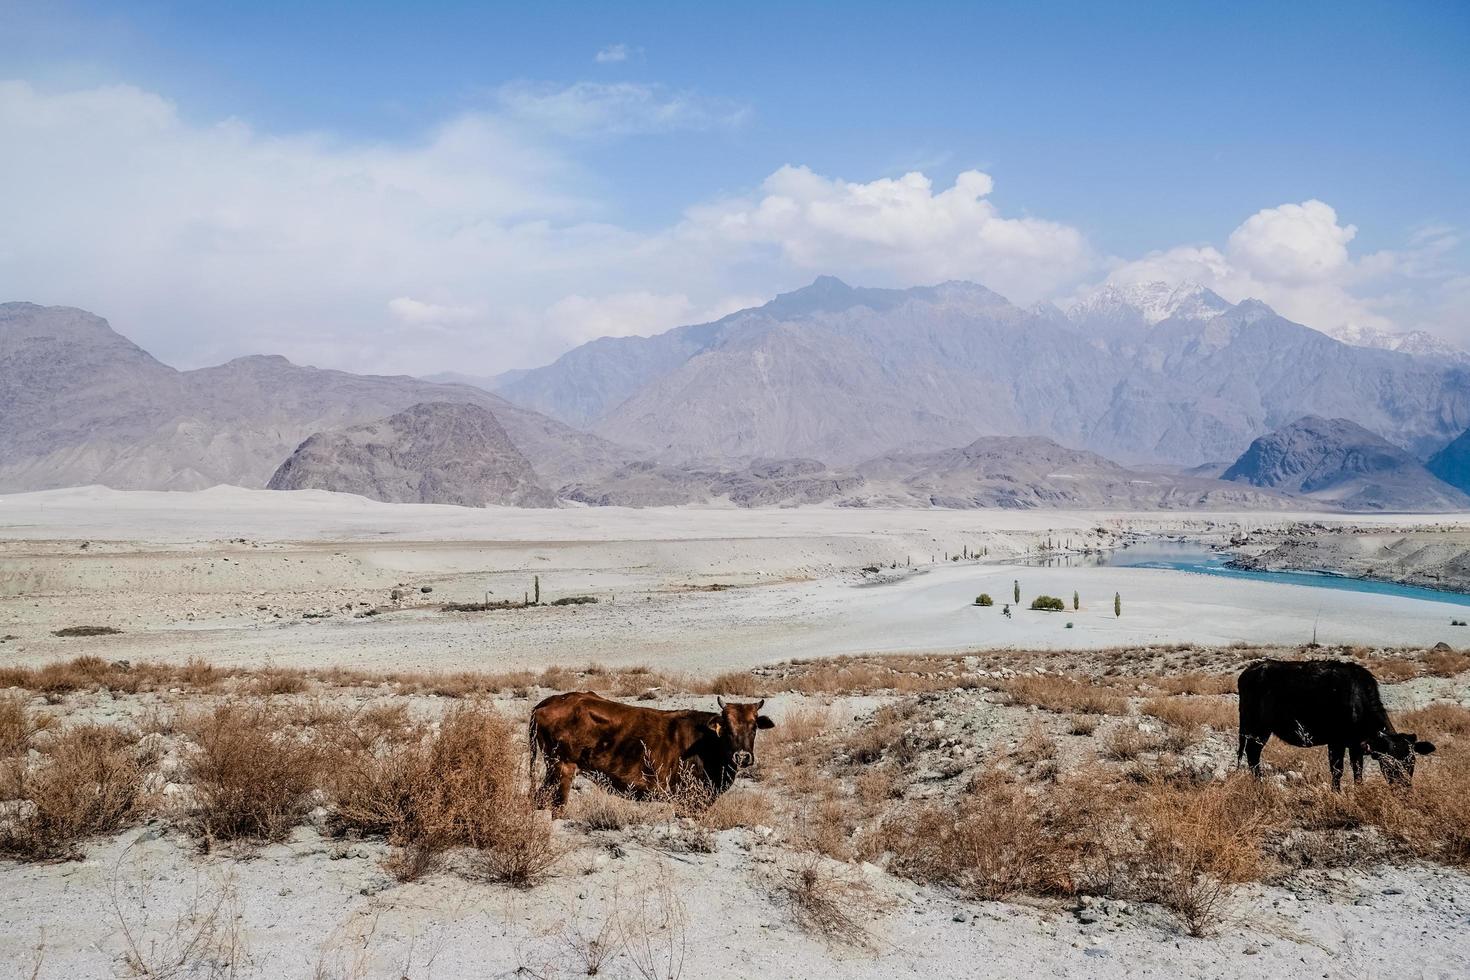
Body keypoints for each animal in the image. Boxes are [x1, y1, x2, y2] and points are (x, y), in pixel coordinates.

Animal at [532, 693, 782, 811]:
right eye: (727, 728)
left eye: (754, 727)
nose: (742, 756)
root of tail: (549, 701)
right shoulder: (690, 800)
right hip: (562, 767)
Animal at [1240, 658, 1434, 787]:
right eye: (1389, 764)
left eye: (1412, 762)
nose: (1405, 788)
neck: (1357, 700)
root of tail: (1252, 669)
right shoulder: (1336, 742)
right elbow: (1337, 770)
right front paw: (1336, 792)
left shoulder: (1356, 744)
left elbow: (1357, 770)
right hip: (1256, 727)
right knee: (1252, 754)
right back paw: (1259, 783)